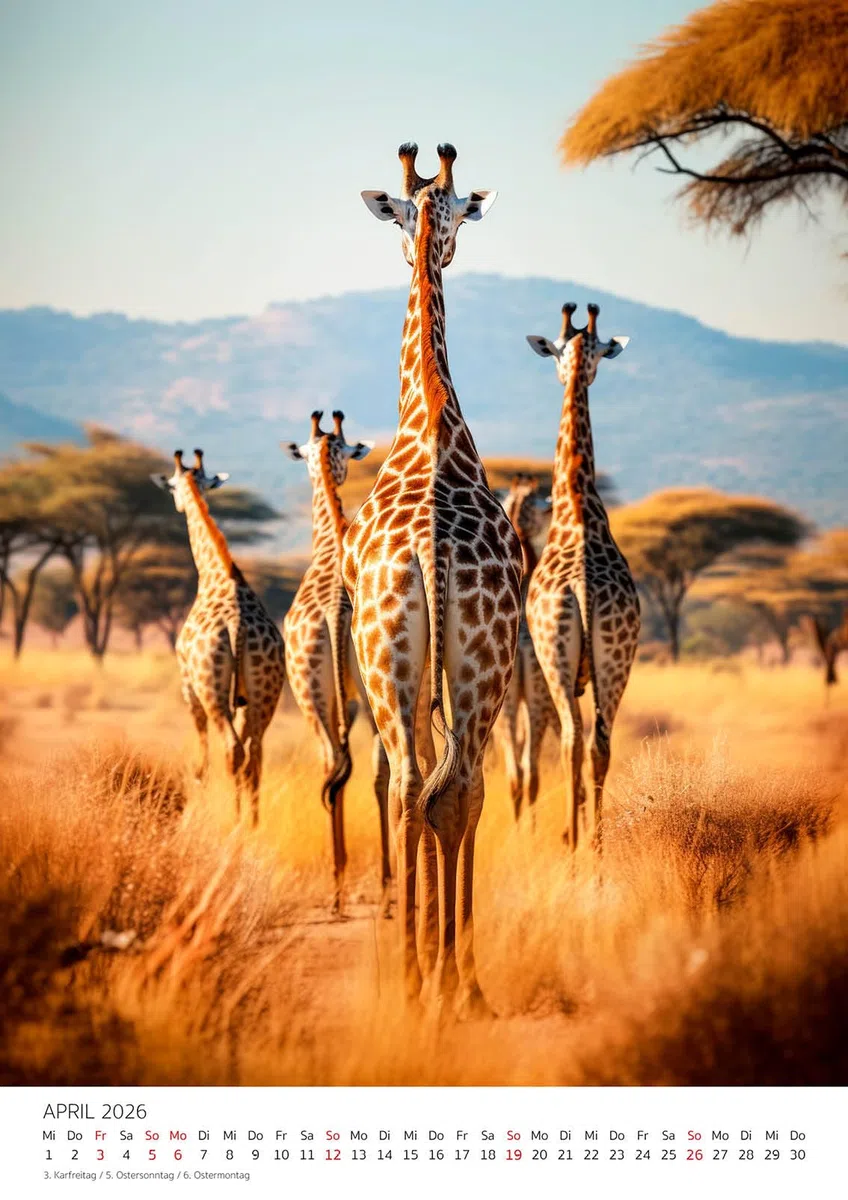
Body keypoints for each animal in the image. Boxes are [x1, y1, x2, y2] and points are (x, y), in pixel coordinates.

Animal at [153, 449, 285, 825]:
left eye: (172, 487)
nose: (177, 505)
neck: (217, 573)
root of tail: (237, 627)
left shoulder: (188, 683)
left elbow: (201, 753)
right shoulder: (243, 696)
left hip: (210, 687)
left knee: (232, 748)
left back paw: (234, 820)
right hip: (266, 692)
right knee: (255, 751)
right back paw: (252, 824)